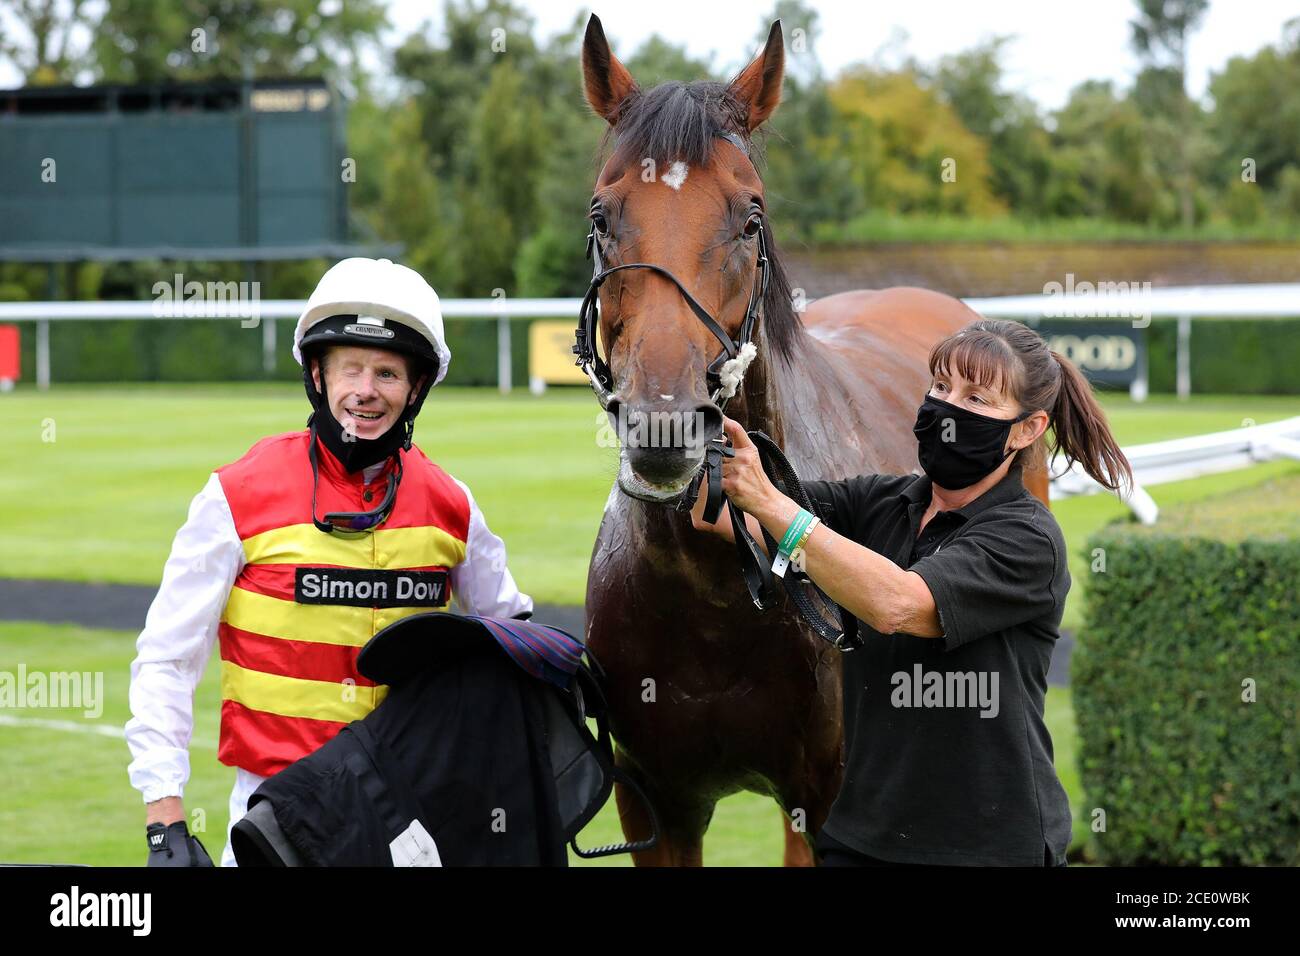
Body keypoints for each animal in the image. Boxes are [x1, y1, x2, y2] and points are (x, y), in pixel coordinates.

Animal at [585, 14, 1050, 868]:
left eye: (750, 217)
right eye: (604, 215)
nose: (664, 424)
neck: (714, 596)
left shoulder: (819, 801)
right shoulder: (655, 806)